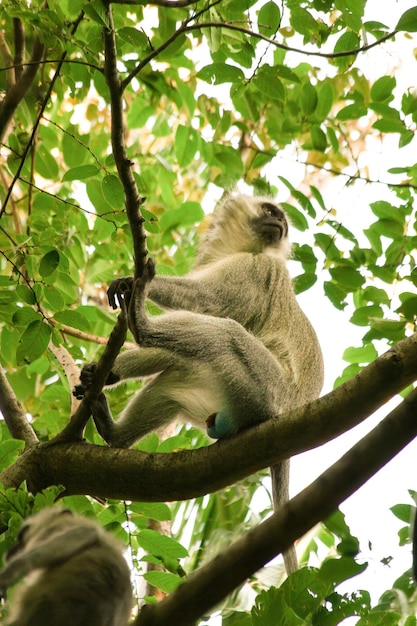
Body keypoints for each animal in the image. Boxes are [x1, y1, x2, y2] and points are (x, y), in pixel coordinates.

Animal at [76, 193, 324, 572]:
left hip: (265, 389)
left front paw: (135, 284)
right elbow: (175, 351)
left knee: (224, 333)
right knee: (178, 370)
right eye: (271, 212)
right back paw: (113, 433)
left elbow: (209, 301)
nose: (279, 225)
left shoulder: (260, 269)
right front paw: (101, 373)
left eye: (281, 219)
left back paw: (142, 323)